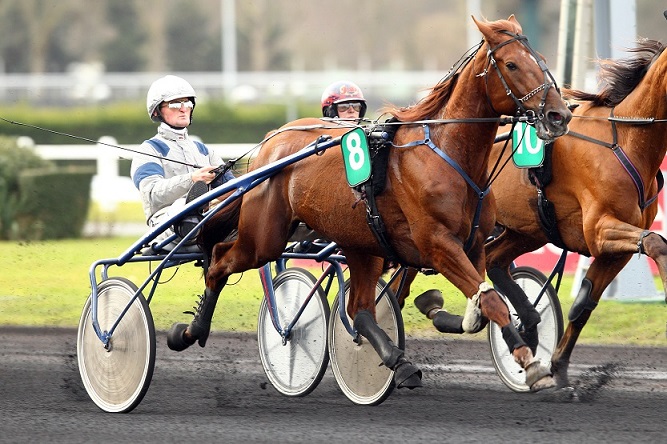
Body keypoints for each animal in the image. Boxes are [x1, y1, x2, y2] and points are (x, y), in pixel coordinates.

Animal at [168, 15, 576, 392]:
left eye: (541, 59)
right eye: (512, 64)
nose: (559, 114)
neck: (447, 156)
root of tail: (271, 141)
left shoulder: (472, 243)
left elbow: (480, 306)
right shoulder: (438, 245)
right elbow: (491, 301)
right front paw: (532, 363)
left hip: (361, 245)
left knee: (359, 310)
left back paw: (399, 361)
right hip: (264, 237)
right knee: (219, 260)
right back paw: (191, 330)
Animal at [482, 36, 667, 392]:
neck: (625, 140)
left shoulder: (615, 249)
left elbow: (582, 307)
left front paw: (560, 370)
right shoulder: (600, 229)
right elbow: (656, 243)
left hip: (526, 232)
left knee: (493, 260)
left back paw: (528, 324)